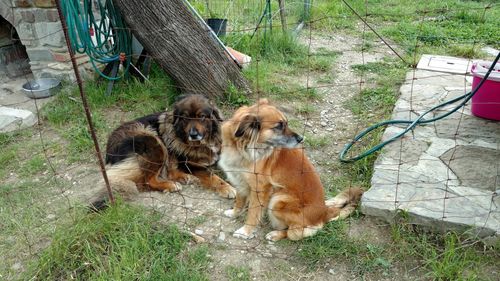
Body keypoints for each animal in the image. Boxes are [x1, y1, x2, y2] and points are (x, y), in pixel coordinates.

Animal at [91, 94, 235, 206]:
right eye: (185, 118)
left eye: (202, 117)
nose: (193, 134)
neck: (203, 142)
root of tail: (109, 151)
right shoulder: (189, 164)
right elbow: (212, 176)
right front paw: (227, 188)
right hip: (154, 141)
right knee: (148, 180)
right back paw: (170, 185)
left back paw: (184, 177)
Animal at [219, 99, 364, 241]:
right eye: (278, 126)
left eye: (286, 124)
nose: (301, 139)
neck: (243, 148)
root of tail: (324, 212)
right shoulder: (239, 179)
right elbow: (239, 201)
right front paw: (234, 213)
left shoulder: (260, 189)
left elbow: (253, 212)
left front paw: (245, 231)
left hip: (277, 200)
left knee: (292, 232)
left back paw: (275, 234)